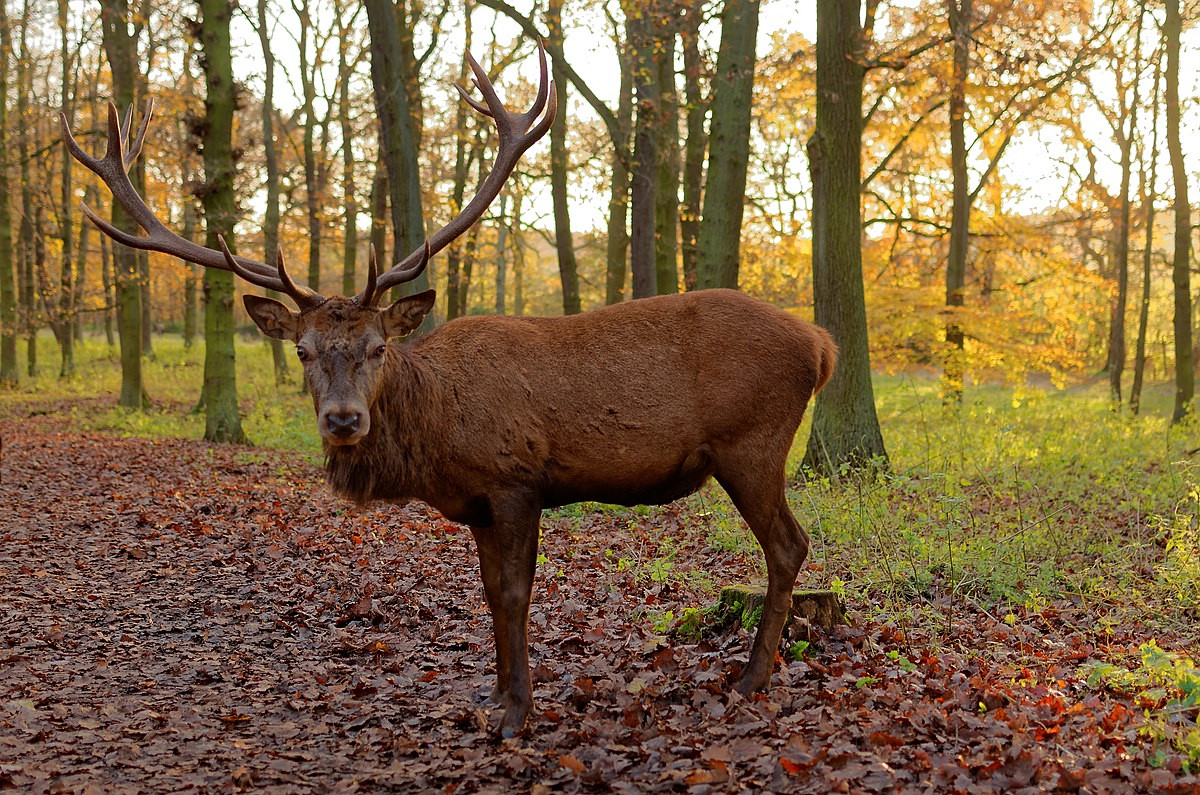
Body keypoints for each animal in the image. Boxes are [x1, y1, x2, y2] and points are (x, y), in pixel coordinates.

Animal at [63, 45, 835, 739]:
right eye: (304, 351)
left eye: (376, 347)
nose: (343, 419)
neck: (432, 441)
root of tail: (821, 345)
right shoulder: (477, 504)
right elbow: (489, 596)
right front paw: (492, 697)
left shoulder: (516, 478)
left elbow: (517, 595)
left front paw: (518, 717)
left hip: (752, 442)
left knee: (789, 545)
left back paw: (750, 679)